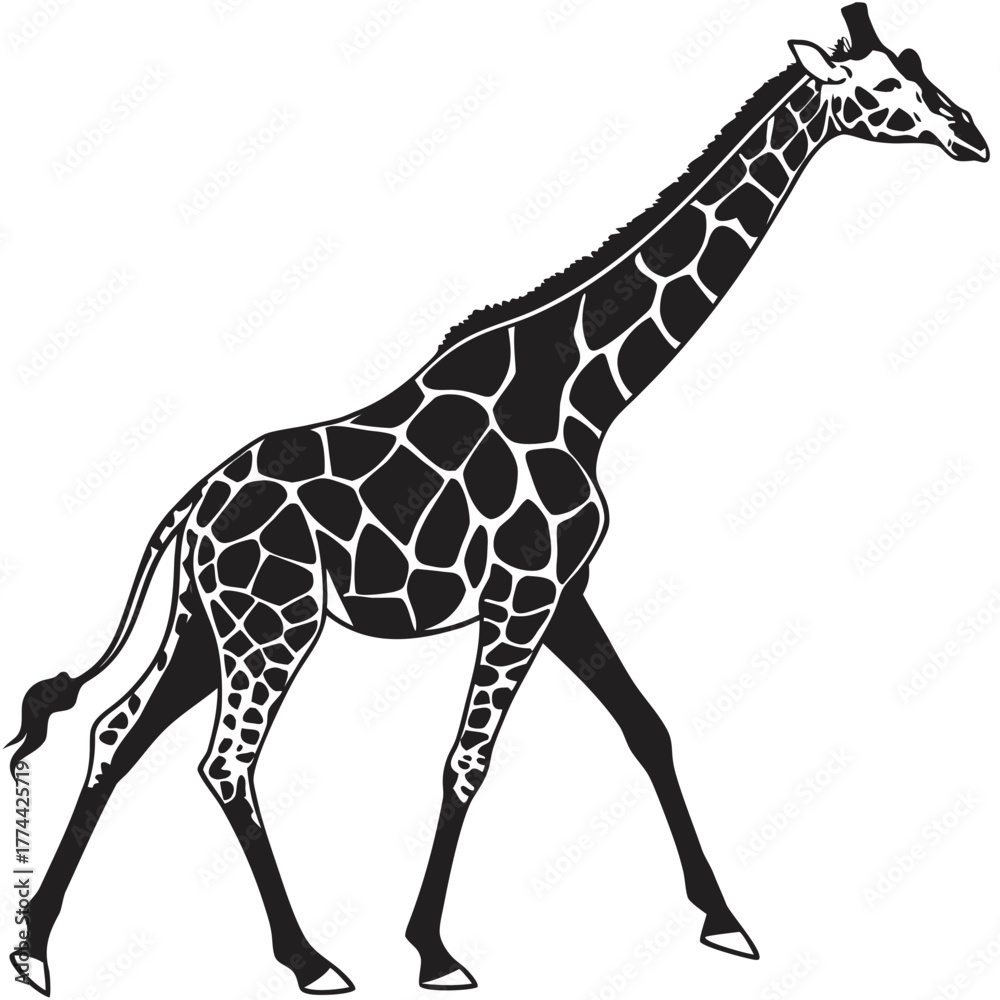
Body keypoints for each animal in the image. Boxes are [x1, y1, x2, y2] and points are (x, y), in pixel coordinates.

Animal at [7, 4, 988, 995]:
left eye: (920, 65)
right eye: (882, 87)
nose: (970, 136)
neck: (585, 392)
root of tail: (189, 509)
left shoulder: (564, 593)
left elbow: (648, 728)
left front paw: (723, 919)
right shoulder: (520, 595)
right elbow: (468, 761)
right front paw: (434, 951)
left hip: (207, 625)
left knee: (116, 732)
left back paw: (36, 945)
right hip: (271, 624)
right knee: (224, 763)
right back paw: (308, 957)